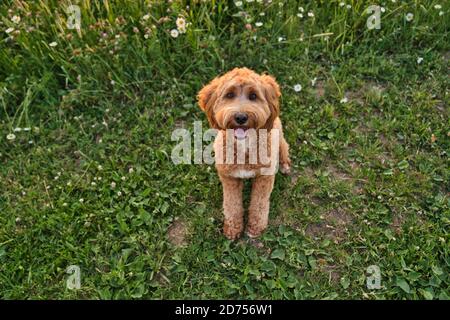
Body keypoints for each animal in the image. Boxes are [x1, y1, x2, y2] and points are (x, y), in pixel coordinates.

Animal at [198, 67, 292, 239]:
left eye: (253, 96)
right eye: (229, 95)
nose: (241, 117)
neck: (244, 145)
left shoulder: (264, 178)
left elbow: (259, 204)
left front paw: (255, 227)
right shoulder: (229, 178)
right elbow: (232, 204)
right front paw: (233, 228)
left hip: (279, 135)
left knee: (284, 147)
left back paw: (284, 165)